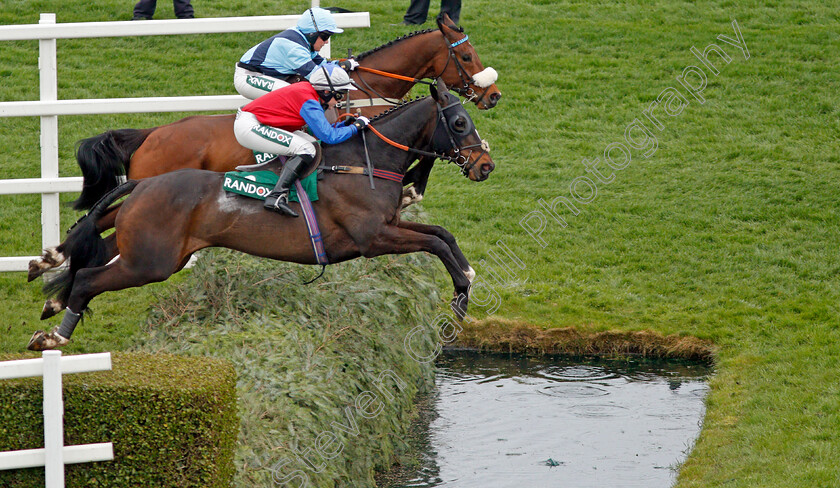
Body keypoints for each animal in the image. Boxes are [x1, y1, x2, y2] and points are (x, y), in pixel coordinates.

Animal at [27, 79, 492, 350]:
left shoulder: (389, 226)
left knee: (97, 250)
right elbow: (433, 243)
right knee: (89, 277)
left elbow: (442, 234)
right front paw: (460, 295)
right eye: (460, 123)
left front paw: (467, 276)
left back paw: (53, 292)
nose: (485, 165)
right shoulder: (373, 238)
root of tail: (143, 182)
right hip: (149, 262)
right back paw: (53, 333)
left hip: (154, 250)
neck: (363, 162)